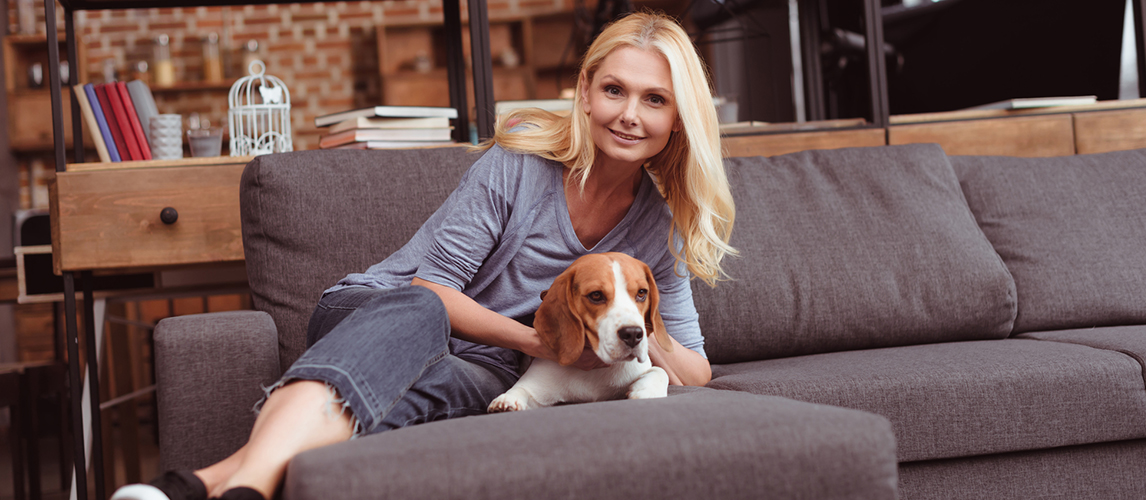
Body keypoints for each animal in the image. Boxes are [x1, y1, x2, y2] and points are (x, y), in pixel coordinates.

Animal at [485, 252, 669, 412]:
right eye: (596, 295)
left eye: (641, 293)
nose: (633, 334)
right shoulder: (535, 386)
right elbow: (520, 389)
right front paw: (507, 400)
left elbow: (660, 371)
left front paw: (647, 391)